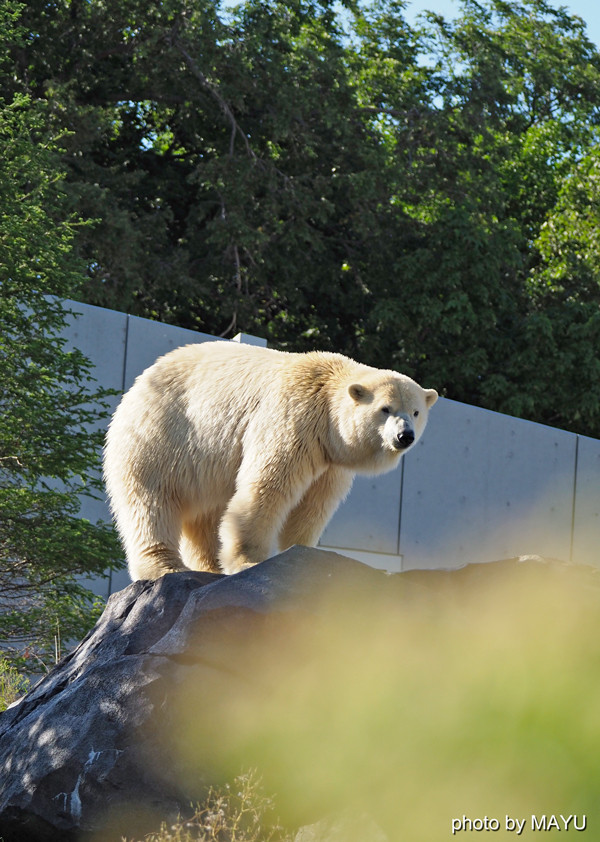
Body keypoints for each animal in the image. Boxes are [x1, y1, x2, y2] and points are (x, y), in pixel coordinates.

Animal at [103, 342, 436, 576]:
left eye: (416, 412)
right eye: (385, 408)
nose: (405, 435)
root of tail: (138, 384)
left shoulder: (330, 460)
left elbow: (314, 504)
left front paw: (302, 551)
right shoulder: (293, 419)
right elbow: (268, 486)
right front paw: (248, 561)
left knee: (206, 515)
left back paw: (210, 567)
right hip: (161, 437)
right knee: (150, 502)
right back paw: (164, 566)